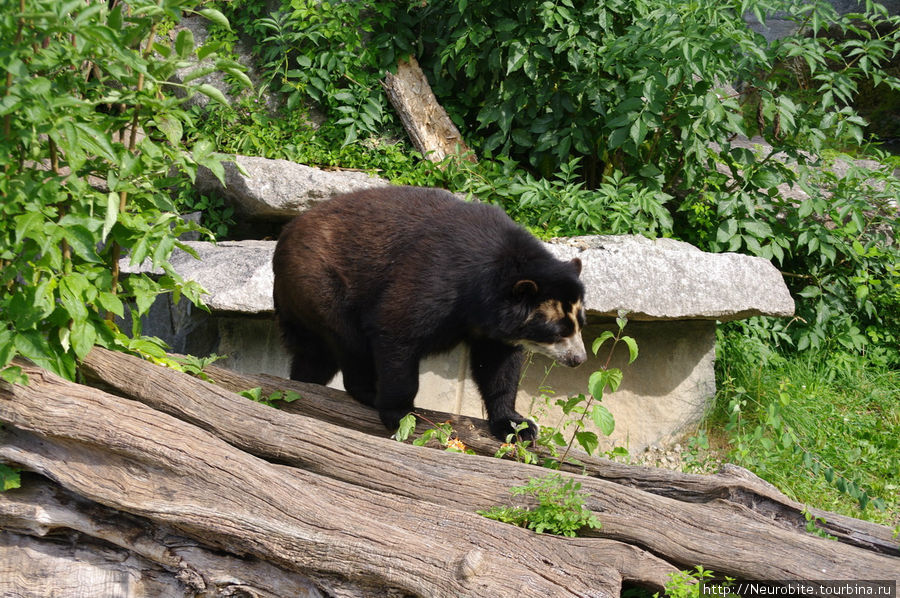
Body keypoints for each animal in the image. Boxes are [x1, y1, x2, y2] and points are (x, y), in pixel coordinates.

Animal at [270, 185, 588, 442]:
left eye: (580, 323)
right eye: (557, 330)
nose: (579, 359)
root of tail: (284, 235)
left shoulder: (491, 327)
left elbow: (498, 368)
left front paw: (517, 426)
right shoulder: (435, 277)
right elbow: (397, 329)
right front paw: (400, 414)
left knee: (315, 357)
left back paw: (302, 382)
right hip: (321, 284)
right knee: (350, 342)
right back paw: (369, 393)